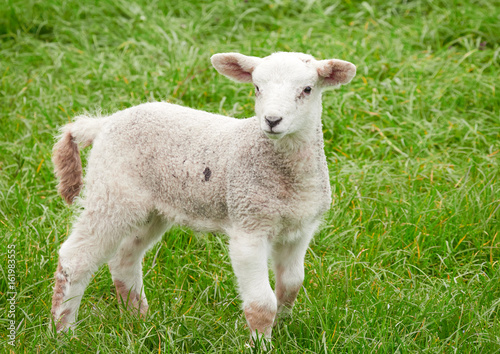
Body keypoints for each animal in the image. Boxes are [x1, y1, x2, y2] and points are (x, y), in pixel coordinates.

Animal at [50, 52, 356, 342]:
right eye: (257, 87)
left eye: (307, 89)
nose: (272, 120)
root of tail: (104, 123)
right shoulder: (248, 227)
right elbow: (261, 304)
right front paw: (260, 344)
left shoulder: (300, 228)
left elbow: (291, 285)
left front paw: (281, 330)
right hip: (112, 191)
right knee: (75, 258)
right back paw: (63, 331)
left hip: (152, 207)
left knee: (124, 257)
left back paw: (139, 319)